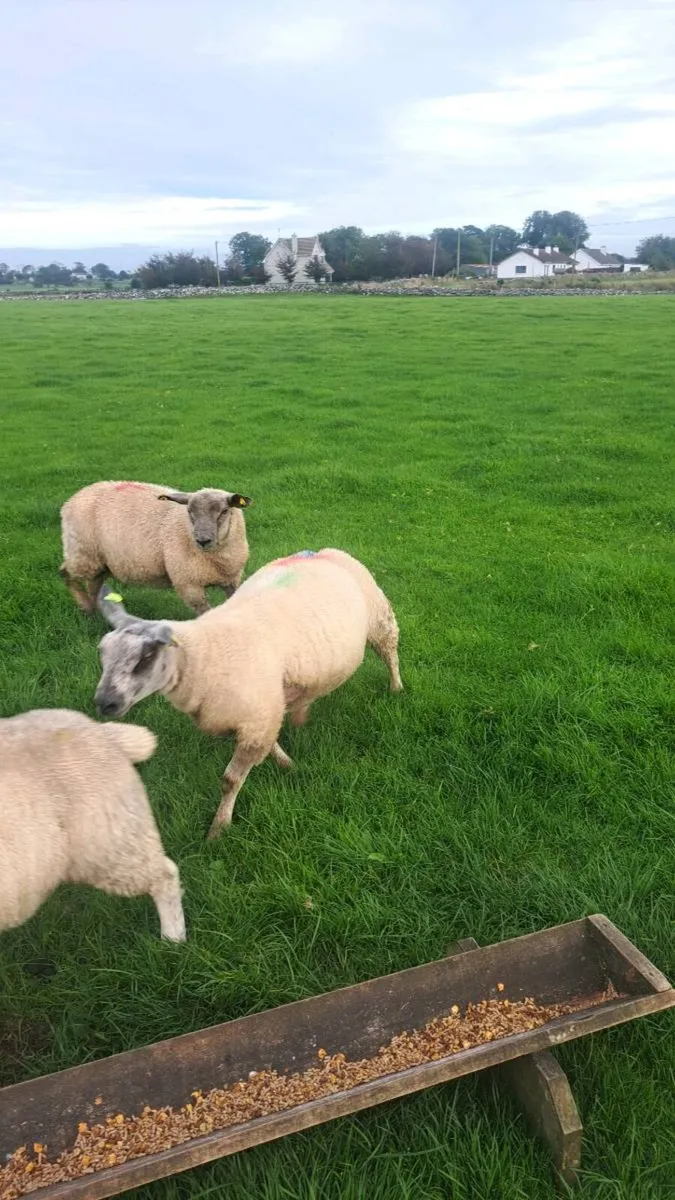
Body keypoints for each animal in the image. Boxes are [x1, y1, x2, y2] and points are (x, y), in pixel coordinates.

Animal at [60, 480, 252, 616]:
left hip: (101, 562)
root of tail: (75, 497)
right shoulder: (189, 584)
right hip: (83, 554)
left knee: (94, 584)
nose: (202, 540)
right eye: (189, 512)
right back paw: (85, 607)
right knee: (66, 573)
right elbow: (205, 613)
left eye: (224, 511)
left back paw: (95, 611)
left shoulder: (232, 579)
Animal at [94, 548, 403, 839]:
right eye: (102, 653)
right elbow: (271, 743)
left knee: (390, 654)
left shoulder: (258, 718)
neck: (205, 654)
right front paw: (285, 762)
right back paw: (302, 715)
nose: (103, 702)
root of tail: (321, 552)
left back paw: (396, 688)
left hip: (380, 619)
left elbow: (230, 780)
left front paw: (218, 829)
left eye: (146, 656)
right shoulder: (262, 711)